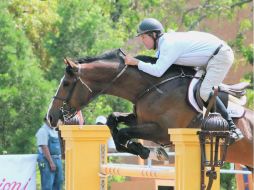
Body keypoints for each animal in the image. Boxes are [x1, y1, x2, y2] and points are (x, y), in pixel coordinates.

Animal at [46, 48, 253, 167]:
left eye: (66, 84)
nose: (50, 117)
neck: (152, 86)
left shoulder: (162, 131)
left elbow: (124, 133)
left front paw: (149, 151)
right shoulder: (140, 119)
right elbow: (114, 120)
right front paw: (145, 150)